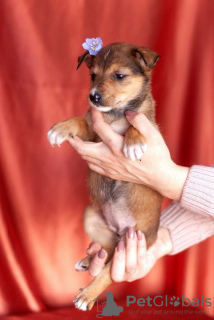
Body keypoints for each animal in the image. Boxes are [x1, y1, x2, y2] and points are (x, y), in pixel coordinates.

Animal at [48, 42, 162, 310]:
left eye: (119, 76)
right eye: (92, 75)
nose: (93, 97)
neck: (115, 114)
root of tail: (119, 231)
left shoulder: (149, 127)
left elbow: (136, 125)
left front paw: (133, 143)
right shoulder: (92, 133)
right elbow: (80, 121)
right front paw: (61, 128)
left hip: (131, 241)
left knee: (108, 272)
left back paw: (87, 295)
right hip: (92, 217)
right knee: (106, 251)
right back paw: (89, 261)